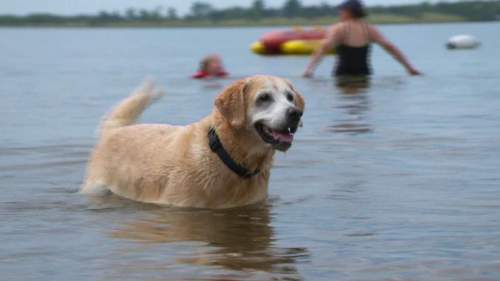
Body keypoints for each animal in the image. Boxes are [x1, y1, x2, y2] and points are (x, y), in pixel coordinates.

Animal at [81, 75, 304, 208]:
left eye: (290, 97)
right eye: (264, 98)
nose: (296, 113)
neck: (225, 155)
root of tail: (114, 130)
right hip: (96, 187)